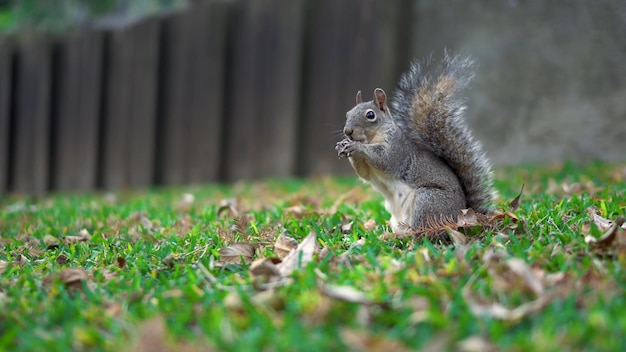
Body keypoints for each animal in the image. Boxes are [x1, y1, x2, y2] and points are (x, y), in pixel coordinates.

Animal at [334, 52, 494, 232]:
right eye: (348, 114)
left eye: (370, 115)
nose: (348, 131)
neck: (372, 139)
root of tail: (463, 215)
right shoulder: (368, 169)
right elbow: (363, 172)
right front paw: (343, 146)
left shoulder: (397, 149)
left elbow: (384, 159)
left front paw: (356, 146)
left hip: (427, 199)